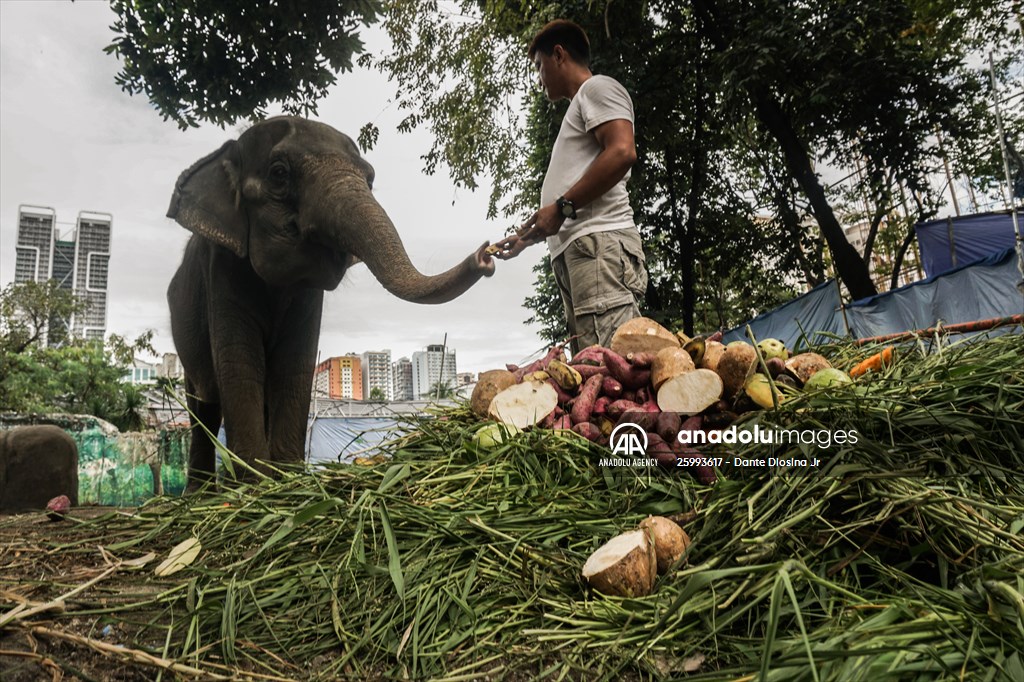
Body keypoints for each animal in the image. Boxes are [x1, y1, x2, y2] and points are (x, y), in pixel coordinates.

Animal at [168, 116, 495, 489]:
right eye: (279, 173)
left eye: (370, 178)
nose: (485, 255)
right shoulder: (221, 268)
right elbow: (239, 361)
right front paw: (257, 486)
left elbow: (296, 364)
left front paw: (287, 479)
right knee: (203, 406)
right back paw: (203, 494)